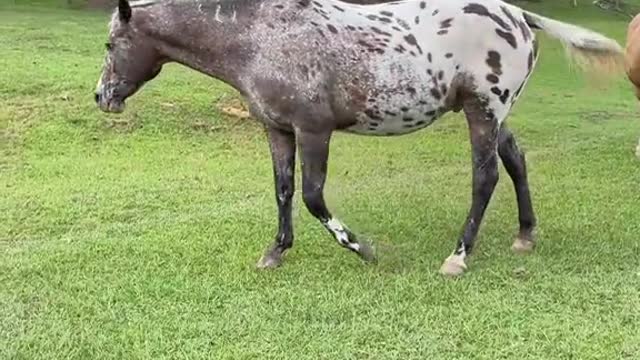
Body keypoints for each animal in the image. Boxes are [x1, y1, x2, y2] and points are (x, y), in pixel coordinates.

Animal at [96, 0, 624, 276]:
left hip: (483, 111)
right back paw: (525, 235)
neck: (262, 37)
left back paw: (458, 256)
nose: (102, 96)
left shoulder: (313, 131)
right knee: (515, 160)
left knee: (485, 177)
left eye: (110, 43)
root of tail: (517, 14)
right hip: (493, 115)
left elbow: (313, 197)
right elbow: (284, 191)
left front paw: (363, 249)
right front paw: (276, 251)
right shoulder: (278, 130)